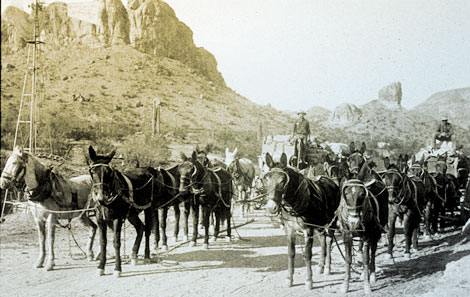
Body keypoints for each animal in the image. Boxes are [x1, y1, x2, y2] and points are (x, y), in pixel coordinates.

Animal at [262, 153, 340, 290]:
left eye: (283, 180)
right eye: (266, 179)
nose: (271, 207)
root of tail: (331, 181)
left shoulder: (308, 230)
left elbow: (307, 255)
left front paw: (309, 281)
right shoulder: (290, 230)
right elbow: (291, 253)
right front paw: (289, 279)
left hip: (332, 222)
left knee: (329, 241)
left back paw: (327, 268)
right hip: (319, 224)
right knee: (323, 240)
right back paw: (321, 266)